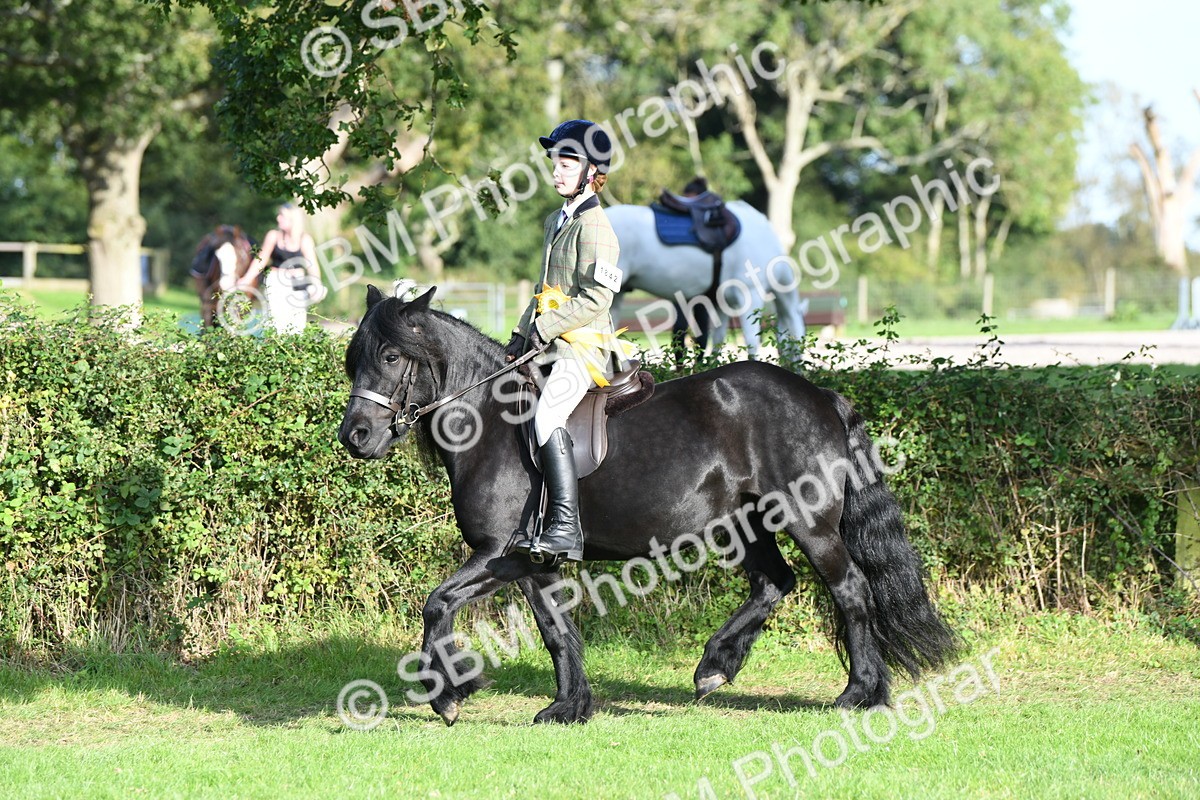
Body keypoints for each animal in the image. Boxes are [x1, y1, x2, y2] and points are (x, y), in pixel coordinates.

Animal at [338, 285, 958, 725]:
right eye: (352, 361)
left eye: (391, 356)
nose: (356, 437)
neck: (494, 420)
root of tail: (819, 395)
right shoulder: (529, 561)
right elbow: (556, 630)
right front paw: (568, 707)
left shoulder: (497, 554)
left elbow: (436, 604)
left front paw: (449, 695)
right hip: (746, 522)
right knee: (774, 582)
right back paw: (714, 668)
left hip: (808, 523)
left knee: (850, 589)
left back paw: (860, 694)